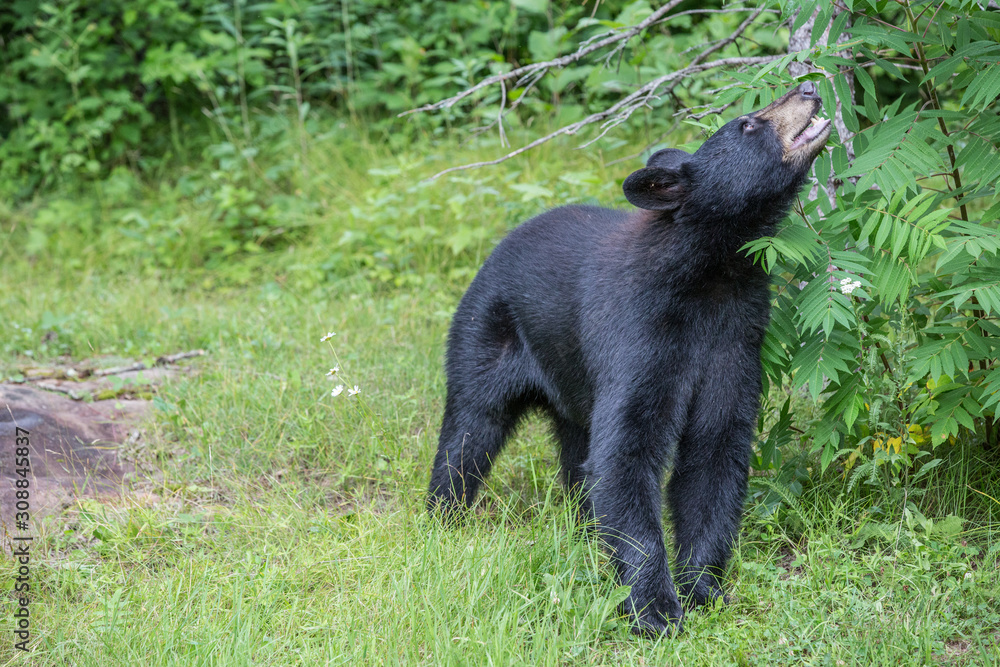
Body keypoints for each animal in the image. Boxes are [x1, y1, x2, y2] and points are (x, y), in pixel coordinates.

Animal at [427, 82, 832, 636]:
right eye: (748, 124)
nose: (809, 86)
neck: (712, 275)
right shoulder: (640, 336)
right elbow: (626, 451)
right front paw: (655, 608)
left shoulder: (735, 341)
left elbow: (715, 451)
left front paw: (703, 589)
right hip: (484, 333)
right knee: (469, 431)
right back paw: (442, 519)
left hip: (572, 379)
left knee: (577, 454)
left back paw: (582, 532)